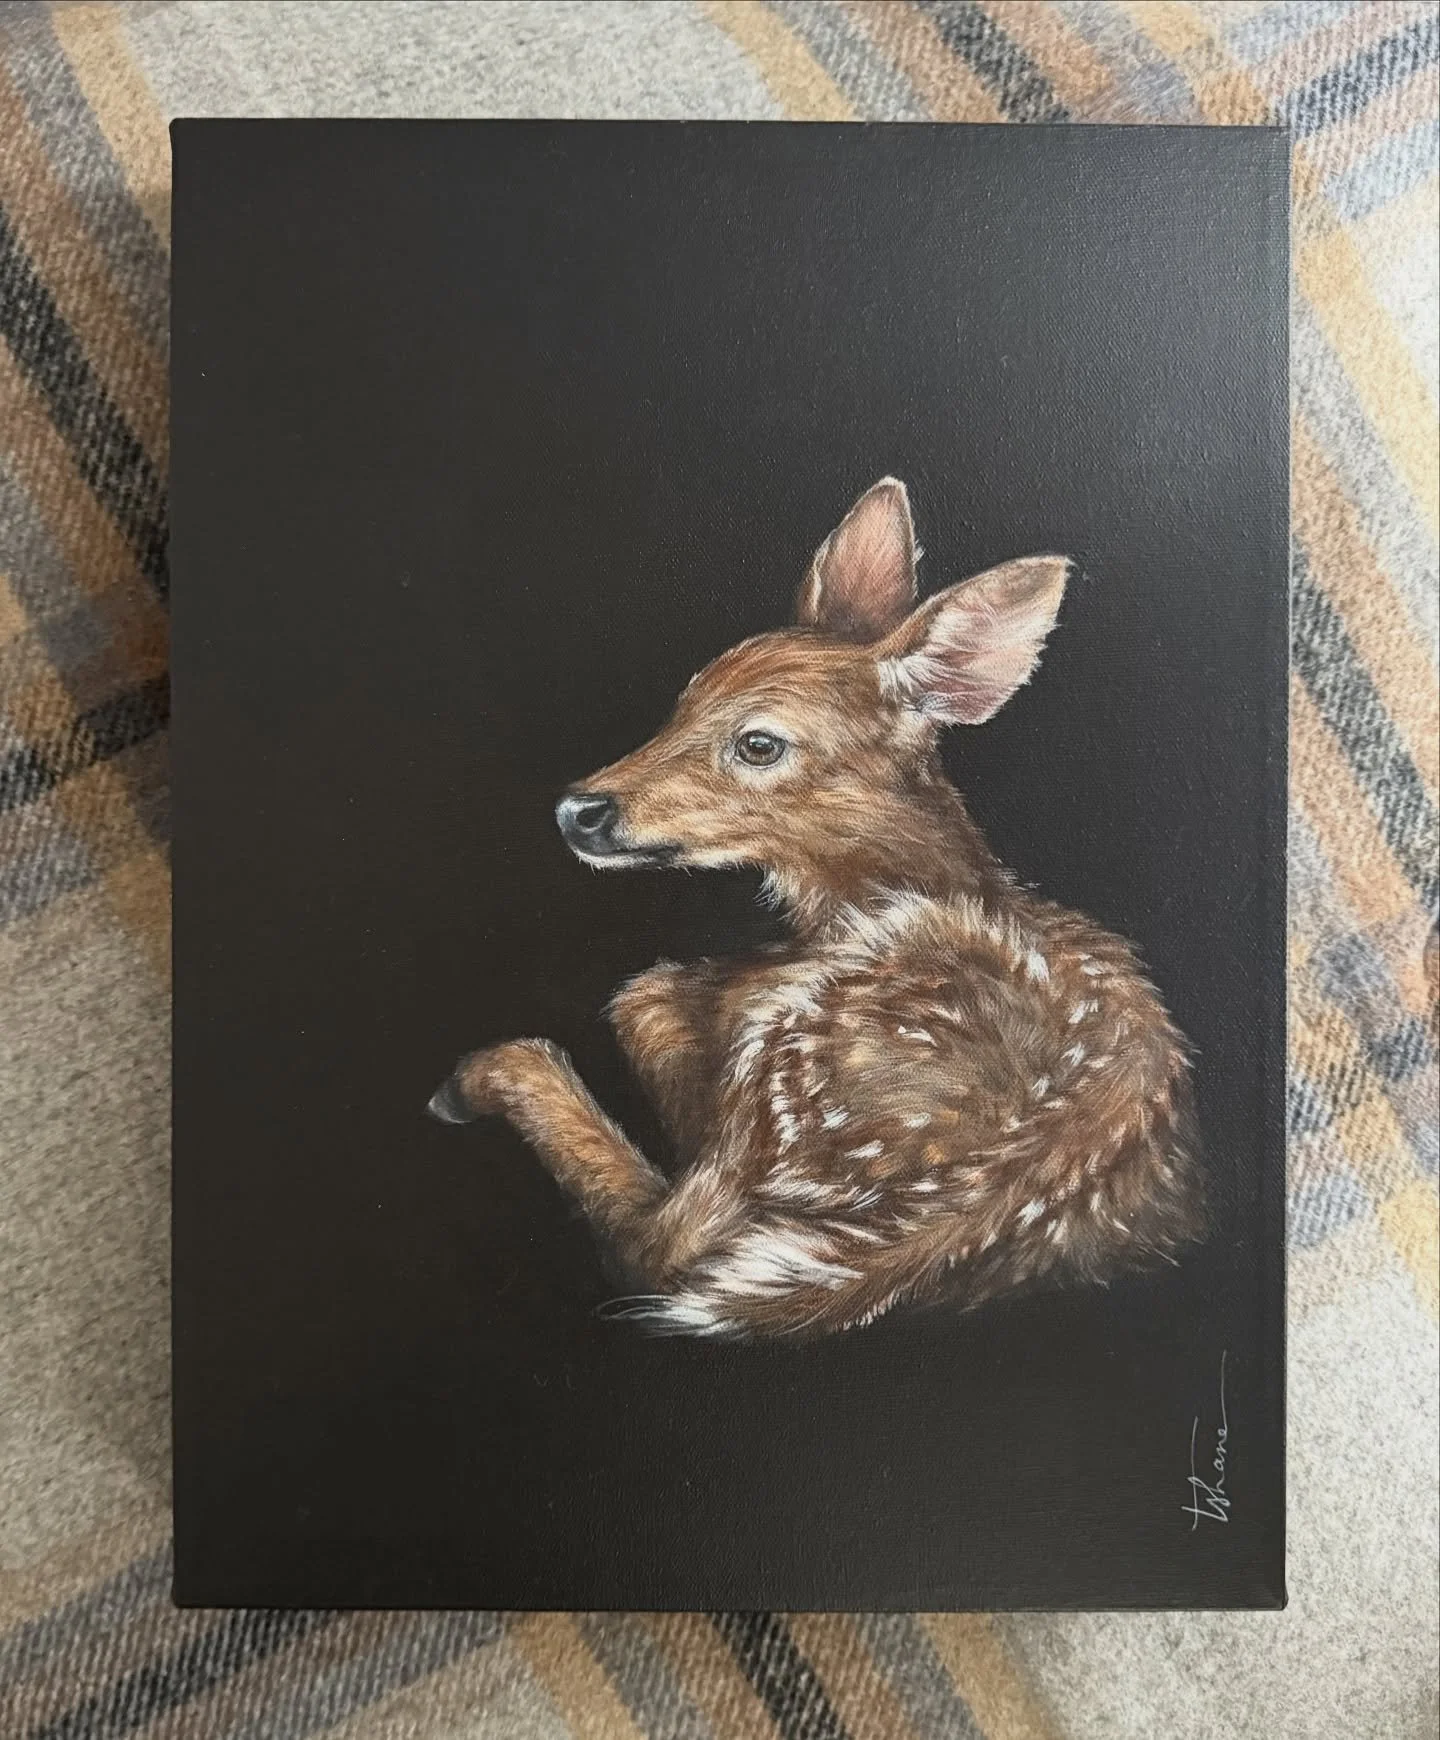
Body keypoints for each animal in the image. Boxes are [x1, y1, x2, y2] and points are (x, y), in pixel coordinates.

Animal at [427, 478, 1205, 1338]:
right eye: (684, 703)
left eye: (759, 744)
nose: (580, 811)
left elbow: (647, 1004)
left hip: (794, 1062)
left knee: (658, 1244)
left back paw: (479, 1078)